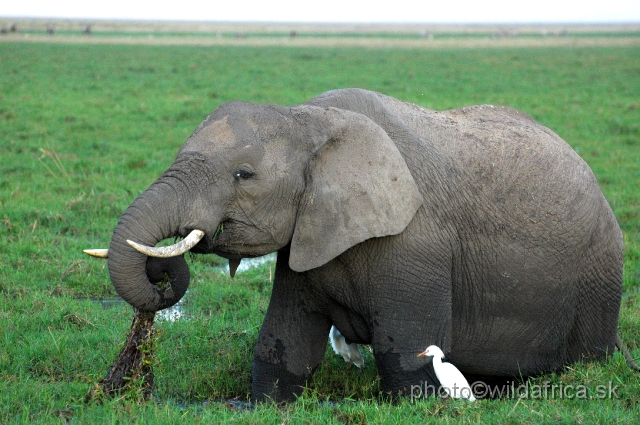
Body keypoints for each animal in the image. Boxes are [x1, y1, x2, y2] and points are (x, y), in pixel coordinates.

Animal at [90, 88, 624, 400]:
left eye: (243, 175)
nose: (161, 272)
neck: (309, 119)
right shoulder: (307, 235)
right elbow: (285, 341)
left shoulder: (416, 244)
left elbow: (406, 356)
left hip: (600, 270)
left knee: (586, 360)